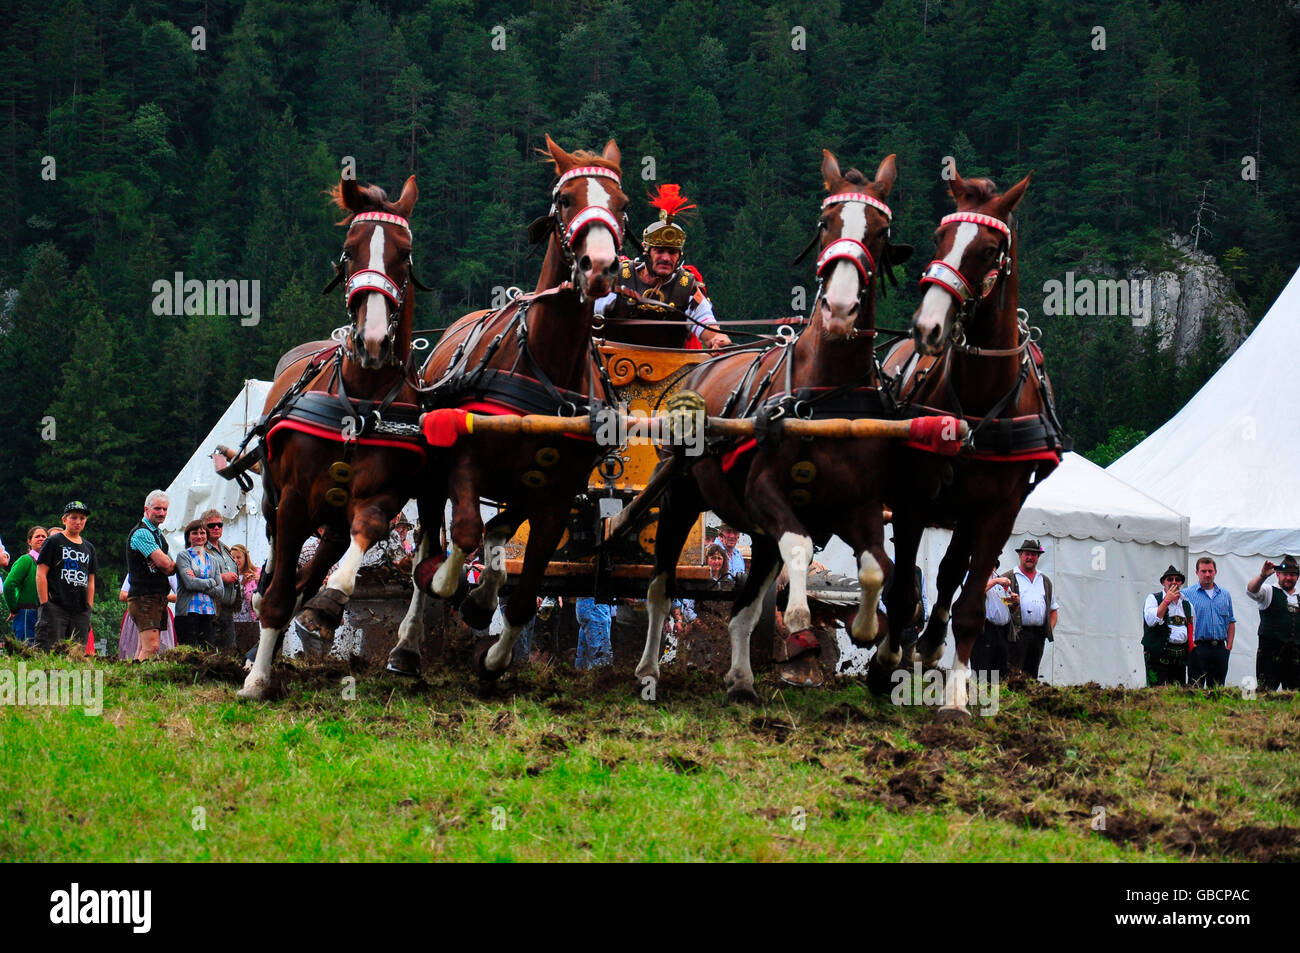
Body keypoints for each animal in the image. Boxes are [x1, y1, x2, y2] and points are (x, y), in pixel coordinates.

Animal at [235, 176, 426, 700]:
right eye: (349, 250)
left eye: (404, 255)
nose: (373, 340)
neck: (359, 399)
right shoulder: (294, 501)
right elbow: (279, 591)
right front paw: (257, 679)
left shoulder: (379, 498)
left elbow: (360, 541)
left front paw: (329, 603)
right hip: (275, 502)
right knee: (278, 572)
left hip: (333, 518)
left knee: (314, 566)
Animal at [384, 136, 629, 680]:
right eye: (566, 200)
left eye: (622, 204)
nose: (599, 268)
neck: (543, 363)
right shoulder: (466, 465)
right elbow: (462, 536)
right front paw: (450, 587)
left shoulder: (556, 498)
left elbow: (523, 588)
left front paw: (494, 657)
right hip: (435, 476)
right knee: (434, 544)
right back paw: (408, 644)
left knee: (497, 534)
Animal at [633, 151, 914, 702]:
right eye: (825, 223)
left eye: (880, 229)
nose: (841, 308)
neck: (824, 396)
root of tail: (697, 369)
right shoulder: (766, 493)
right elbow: (801, 547)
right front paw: (803, 612)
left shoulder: (859, 504)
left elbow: (877, 568)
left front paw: (868, 633)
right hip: (680, 499)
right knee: (658, 589)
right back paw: (649, 671)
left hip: (755, 533)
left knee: (743, 609)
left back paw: (742, 680)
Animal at [877, 165, 1066, 719]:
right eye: (940, 238)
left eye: (988, 248)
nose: (928, 326)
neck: (981, 400)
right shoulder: (913, 501)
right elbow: (902, 590)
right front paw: (888, 662)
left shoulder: (998, 511)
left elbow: (970, 603)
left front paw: (958, 693)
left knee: (948, 576)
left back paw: (931, 646)